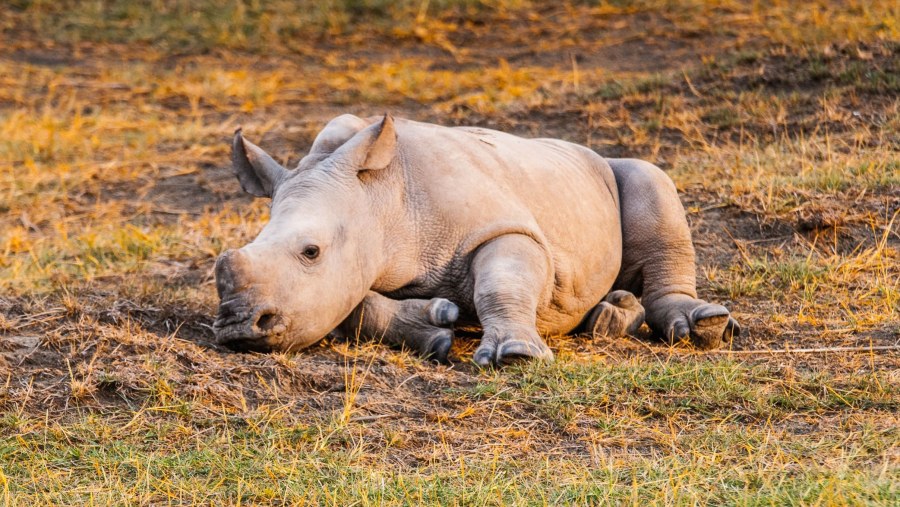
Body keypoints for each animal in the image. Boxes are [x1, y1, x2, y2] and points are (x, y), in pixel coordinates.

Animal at [211, 114, 740, 366]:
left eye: (311, 252)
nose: (237, 328)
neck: (378, 199)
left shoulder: (505, 227)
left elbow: (500, 281)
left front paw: (517, 355)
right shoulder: (346, 273)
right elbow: (357, 308)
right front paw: (435, 330)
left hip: (606, 172)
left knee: (648, 178)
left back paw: (701, 327)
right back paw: (610, 319)